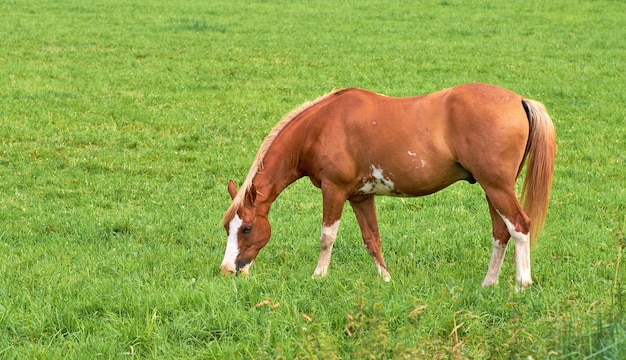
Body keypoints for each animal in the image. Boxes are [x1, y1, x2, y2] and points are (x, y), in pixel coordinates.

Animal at [222, 83, 552, 288]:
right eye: (228, 228)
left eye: (247, 228)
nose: (228, 270)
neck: (320, 127)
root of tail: (519, 101)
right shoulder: (359, 197)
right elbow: (372, 239)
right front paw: (385, 279)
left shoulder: (334, 191)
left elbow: (327, 237)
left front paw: (319, 276)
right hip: (491, 189)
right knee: (501, 232)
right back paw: (489, 283)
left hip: (497, 188)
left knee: (519, 227)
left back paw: (522, 284)